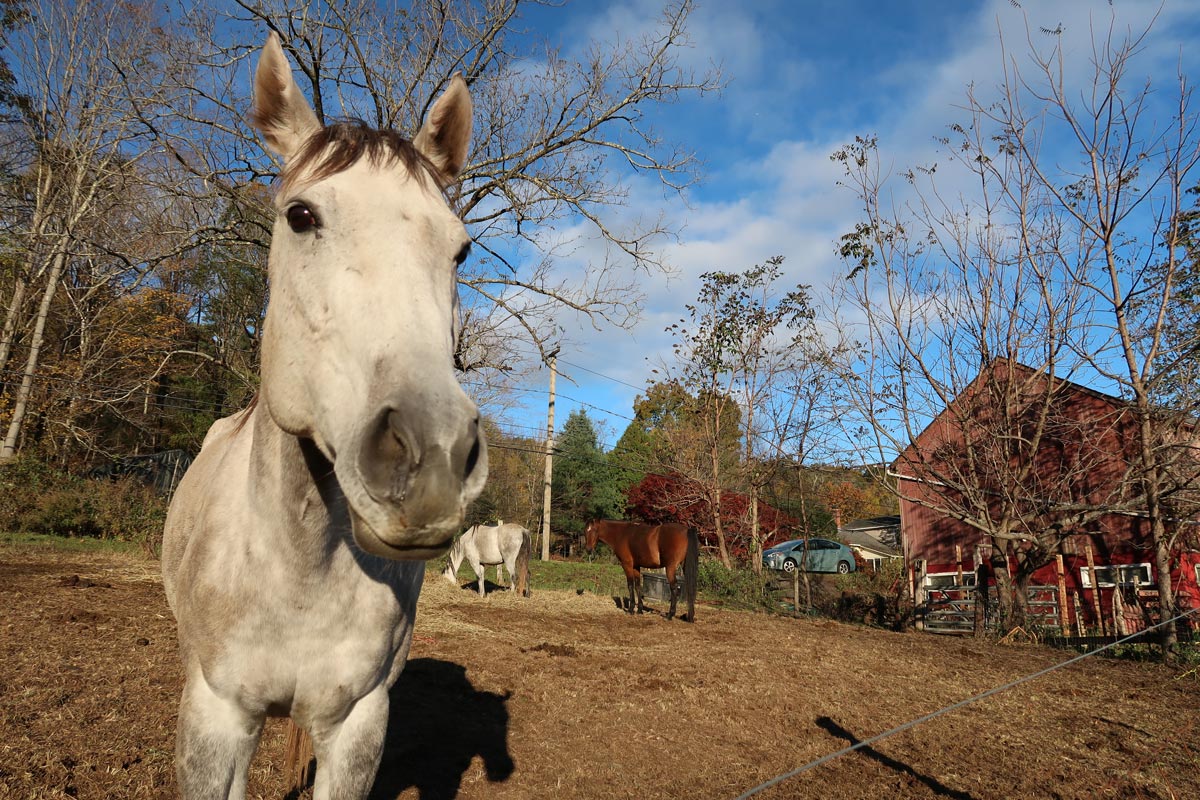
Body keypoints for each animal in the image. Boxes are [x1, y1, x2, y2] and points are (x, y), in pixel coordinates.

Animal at [160, 33, 486, 800]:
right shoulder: (215, 718)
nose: (433, 454)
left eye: (459, 248)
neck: (298, 568)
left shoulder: (359, 725)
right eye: (301, 216)